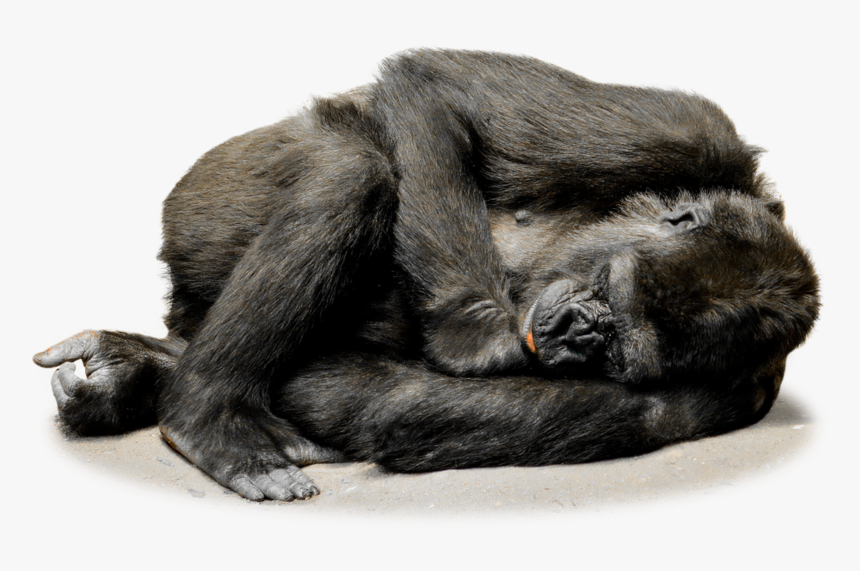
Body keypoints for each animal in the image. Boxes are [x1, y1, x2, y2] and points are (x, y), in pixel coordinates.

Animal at [33, 50, 819, 501]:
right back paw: (205, 415)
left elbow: (392, 407)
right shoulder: (693, 129)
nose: (588, 330)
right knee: (352, 167)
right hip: (201, 198)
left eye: (622, 349)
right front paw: (485, 338)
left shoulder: (725, 398)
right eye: (606, 291)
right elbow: (437, 89)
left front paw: (139, 373)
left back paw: (158, 380)